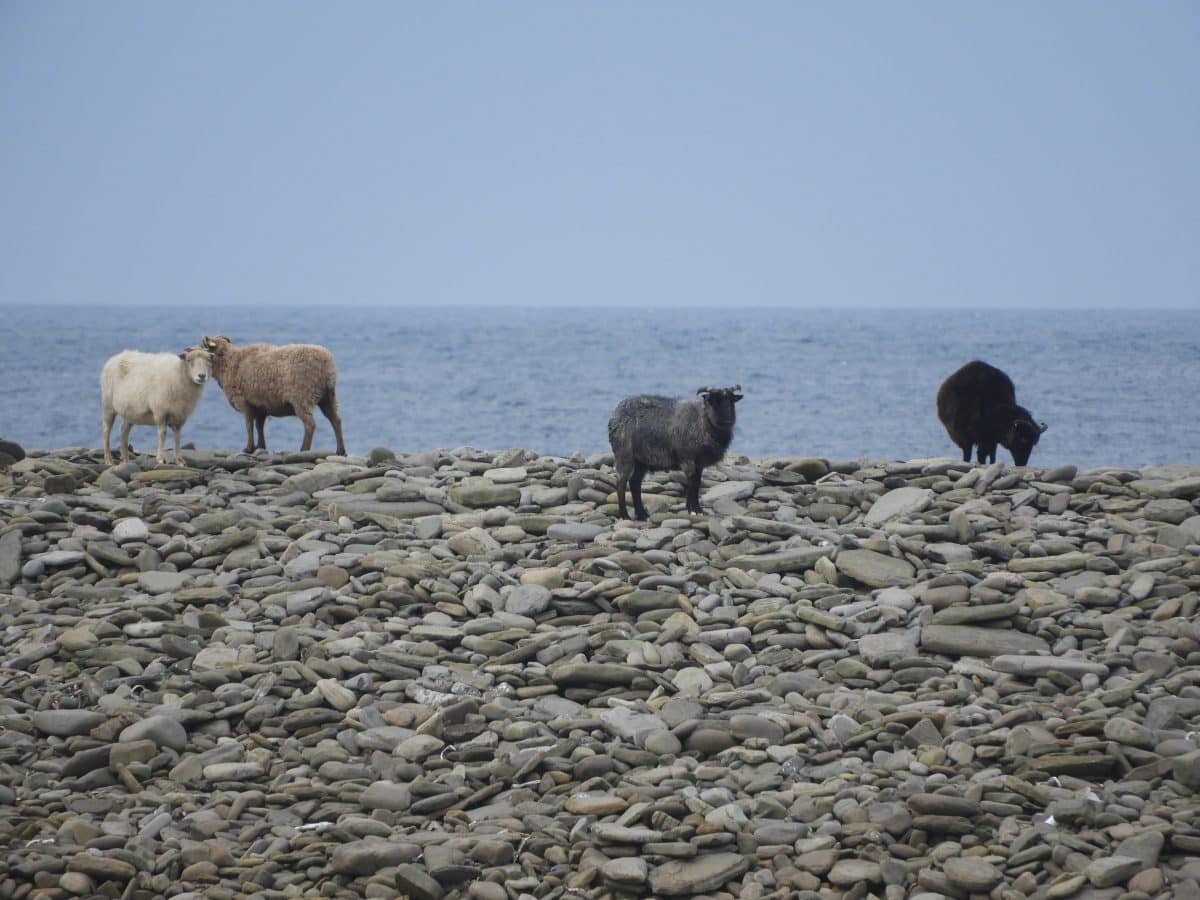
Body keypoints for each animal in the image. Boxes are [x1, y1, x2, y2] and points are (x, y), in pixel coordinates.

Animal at [200, 335, 346, 456]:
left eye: (201, 348)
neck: (229, 363)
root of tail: (328, 365)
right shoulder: (261, 405)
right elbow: (259, 426)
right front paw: (261, 447)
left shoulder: (244, 401)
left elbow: (248, 425)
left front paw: (249, 448)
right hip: (328, 397)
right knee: (336, 420)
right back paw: (341, 451)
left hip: (302, 397)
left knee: (310, 424)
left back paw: (303, 450)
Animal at [608, 385, 743, 520]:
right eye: (714, 400)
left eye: (732, 399)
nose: (729, 420)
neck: (702, 420)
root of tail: (615, 414)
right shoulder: (687, 458)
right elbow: (692, 481)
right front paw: (692, 510)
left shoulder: (699, 463)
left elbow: (697, 482)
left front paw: (698, 510)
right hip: (624, 455)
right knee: (621, 483)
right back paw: (625, 515)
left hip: (642, 461)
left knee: (635, 482)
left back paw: (642, 514)